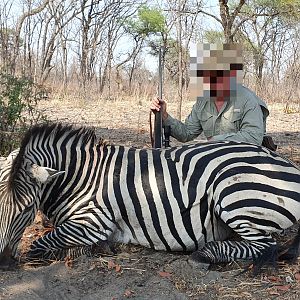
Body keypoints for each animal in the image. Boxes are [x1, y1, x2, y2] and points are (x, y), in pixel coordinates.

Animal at [0, 123, 298, 274]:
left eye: (26, 209)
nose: (3, 263)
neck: (81, 176)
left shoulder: (93, 222)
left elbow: (39, 244)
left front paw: (84, 251)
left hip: (231, 194)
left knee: (265, 247)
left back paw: (204, 255)